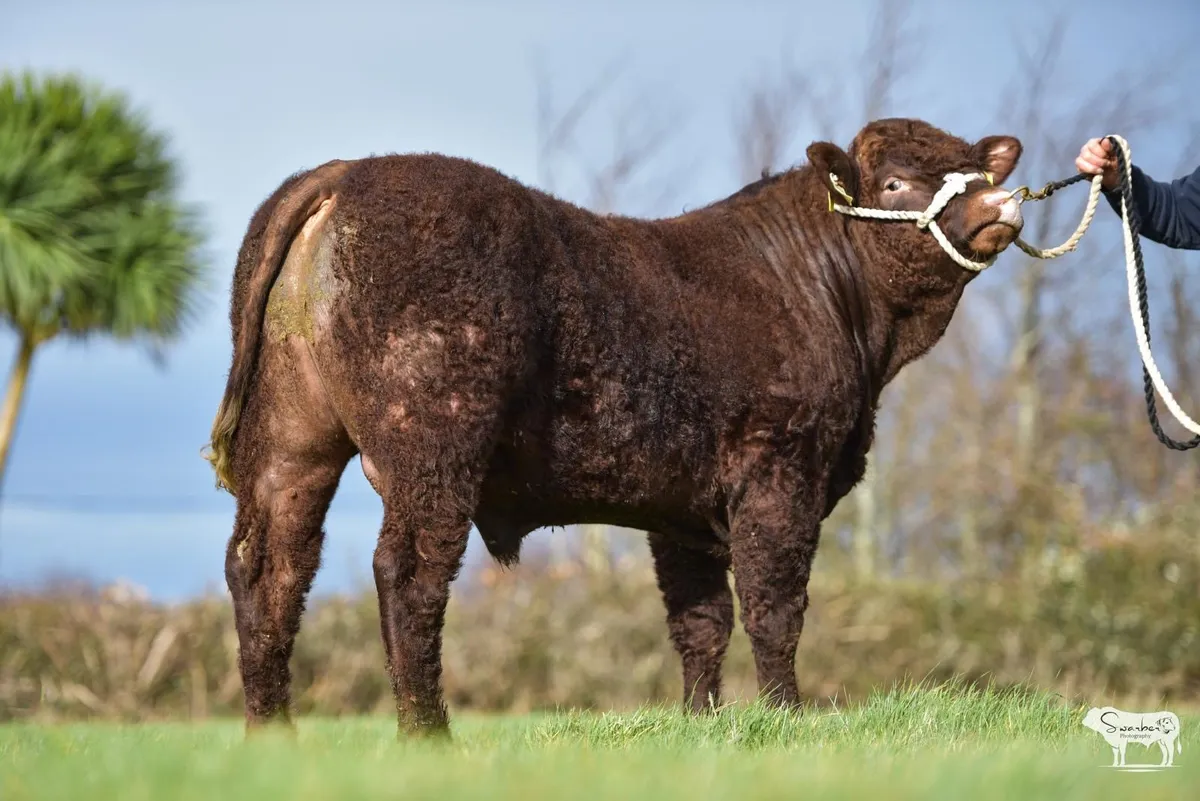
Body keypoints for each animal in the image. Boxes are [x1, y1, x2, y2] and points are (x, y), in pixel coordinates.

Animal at [204, 117, 1027, 737]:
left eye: (971, 167)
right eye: (894, 183)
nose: (1001, 204)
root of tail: (346, 171)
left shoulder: (685, 509)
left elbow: (702, 619)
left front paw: (703, 724)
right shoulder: (781, 469)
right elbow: (773, 607)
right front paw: (787, 719)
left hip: (290, 442)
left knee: (267, 567)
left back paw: (271, 734)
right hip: (433, 445)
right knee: (407, 573)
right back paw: (427, 733)